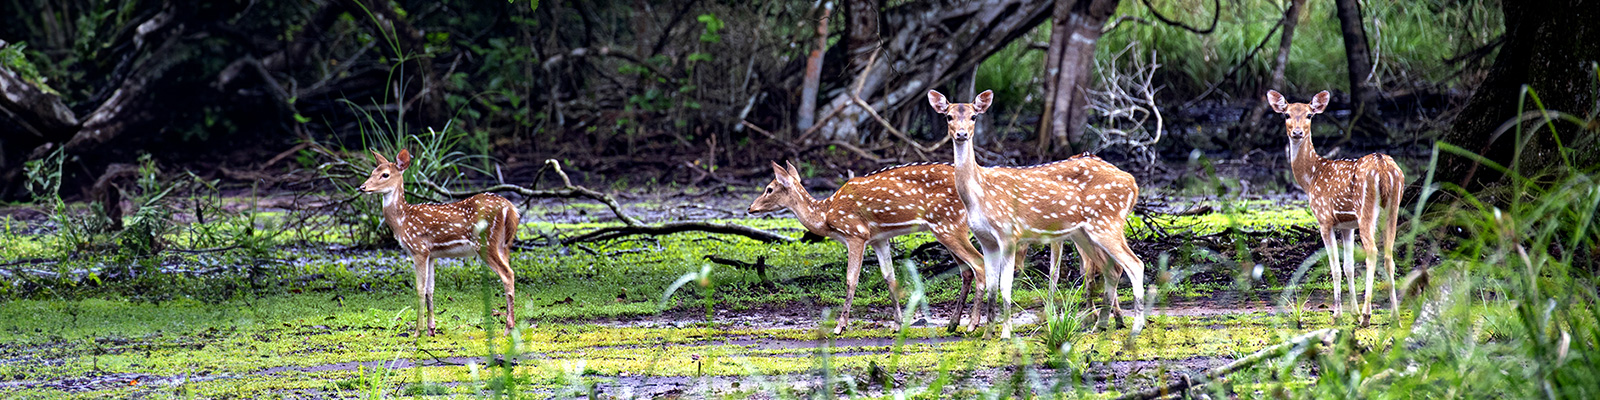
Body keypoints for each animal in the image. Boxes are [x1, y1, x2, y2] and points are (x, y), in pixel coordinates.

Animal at [358, 149, 518, 334]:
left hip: (485, 242)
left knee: (508, 274)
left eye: (385, 174)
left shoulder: (418, 249)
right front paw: (431, 330)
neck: (402, 221)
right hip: (504, 245)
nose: (362, 187)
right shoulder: (432, 254)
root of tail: (510, 208)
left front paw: (417, 332)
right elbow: (430, 289)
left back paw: (508, 329)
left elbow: (420, 289)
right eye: (372, 172)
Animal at [745, 160, 1004, 332]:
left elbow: (851, 279)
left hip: (949, 225)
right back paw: (953, 324)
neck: (826, 216)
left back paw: (972, 325)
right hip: (945, 229)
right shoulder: (879, 238)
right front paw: (897, 324)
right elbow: (889, 277)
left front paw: (840, 326)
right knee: (966, 270)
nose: (750, 207)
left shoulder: (855, 234)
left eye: (769, 188)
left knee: (979, 264)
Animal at [934, 90, 1145, 337]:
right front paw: (987, 334)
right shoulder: (986, 240)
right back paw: (1100, 325)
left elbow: (1005, 286)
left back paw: (1136, 327)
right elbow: (992, 286)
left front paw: (1005, 334)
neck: (978, 194)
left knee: (1135, 264)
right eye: (948, 116)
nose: (961, 134)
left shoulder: (1009, 234)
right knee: (1112, 270)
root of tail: (1133, 183)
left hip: (1106, 222)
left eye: (974, 116)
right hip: (1086, 232)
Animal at [1267, 90, 1408, 324]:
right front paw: (1353, 311)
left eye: (1309, 115)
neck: (1311, 177)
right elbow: (1348, 267)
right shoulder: (1347, 225)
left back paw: (1367, 315)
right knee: (1389, 256)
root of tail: (1383, 167)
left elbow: (1334, 268)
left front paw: (1339, 314)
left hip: (1365, 210)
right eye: (1286, 114)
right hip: (1393, 208)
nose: (1297, 132)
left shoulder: (1324, 219)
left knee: (1372, 252)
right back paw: (1394, 316)